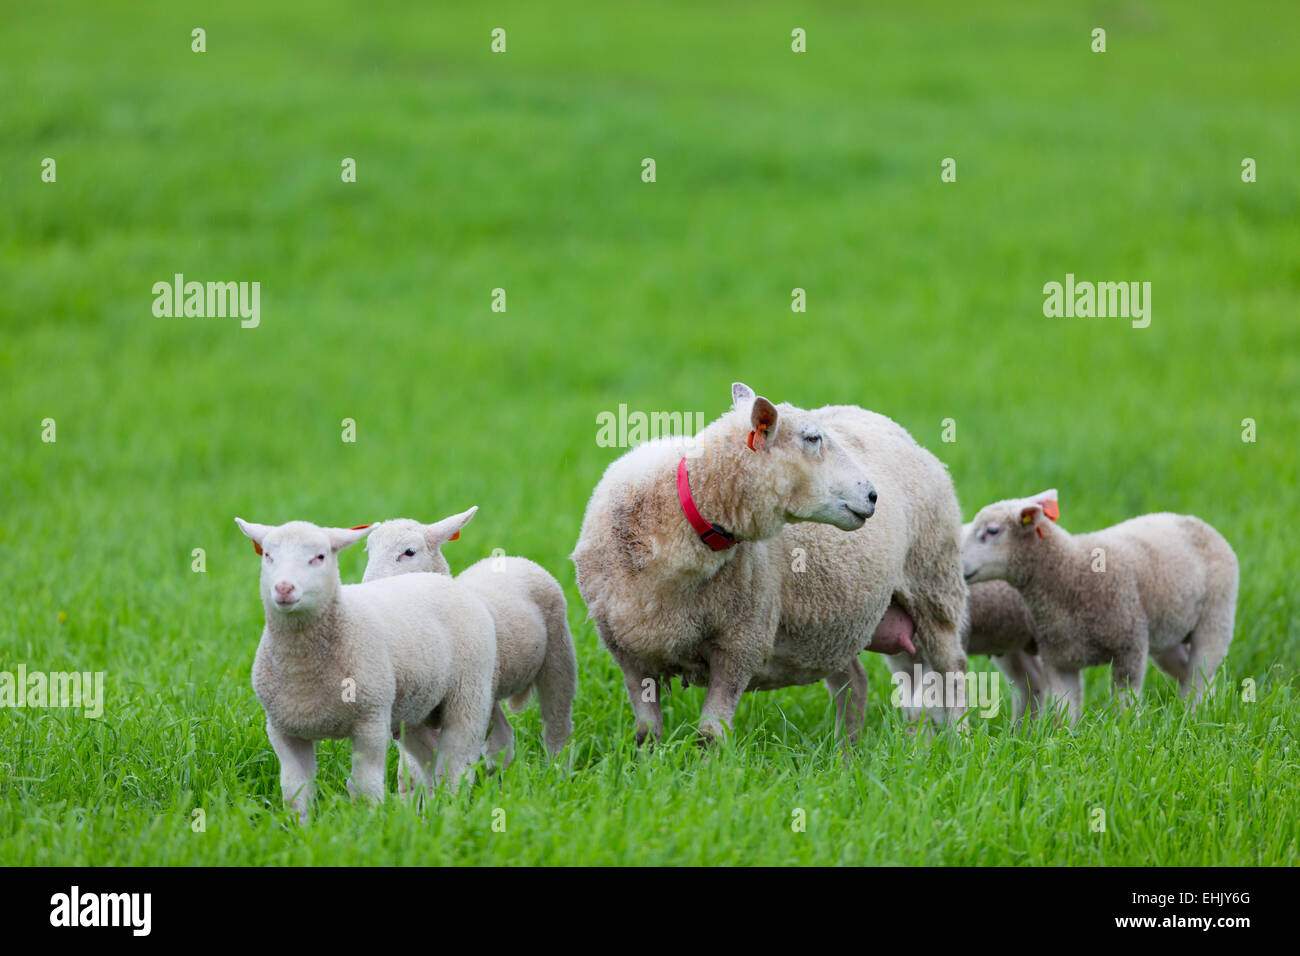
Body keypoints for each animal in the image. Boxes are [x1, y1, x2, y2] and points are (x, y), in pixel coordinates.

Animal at [235, 518, 497, 821]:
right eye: (268, 555)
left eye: (319, 557)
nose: (284, 588)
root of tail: (442, 580)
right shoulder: (282, 731)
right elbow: (294, 792)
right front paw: (299, 828)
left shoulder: (370, 723)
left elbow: (365, 787)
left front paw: (369, 824)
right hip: (415, 709)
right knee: (431, 764)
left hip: (469, 695)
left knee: (456, 766)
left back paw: (450, 811)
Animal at [362, 507, 577, 771]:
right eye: (369, 550)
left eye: (409, 552)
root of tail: (515, 559)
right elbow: (414, 767)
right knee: (502, 736)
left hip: (558, 654)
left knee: (557, 723)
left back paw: (558, 770)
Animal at [571, 382, 971, 746]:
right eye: (812, 438)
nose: (873, 495)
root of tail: (886, 423)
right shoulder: (626, 651)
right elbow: (645, 733)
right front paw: (646, 768)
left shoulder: (741, 642)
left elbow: (710, 734)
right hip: (836, 623)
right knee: (854, 681)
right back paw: (847, 755)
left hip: (934, 584)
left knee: (953, 669)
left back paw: (963, 740)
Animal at [961, 490, 1238, 722]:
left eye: (992, 531)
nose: (959, 567)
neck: (1071, 573)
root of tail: (1193, 520)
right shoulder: (1060, 660)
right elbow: (1064, 713)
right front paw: (1063, 743)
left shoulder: (1130, 648)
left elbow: (1125, 704)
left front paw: (1126, 734)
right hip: (1168, 633)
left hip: (1215, 617)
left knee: (1198, 676)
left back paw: (1195, 718)